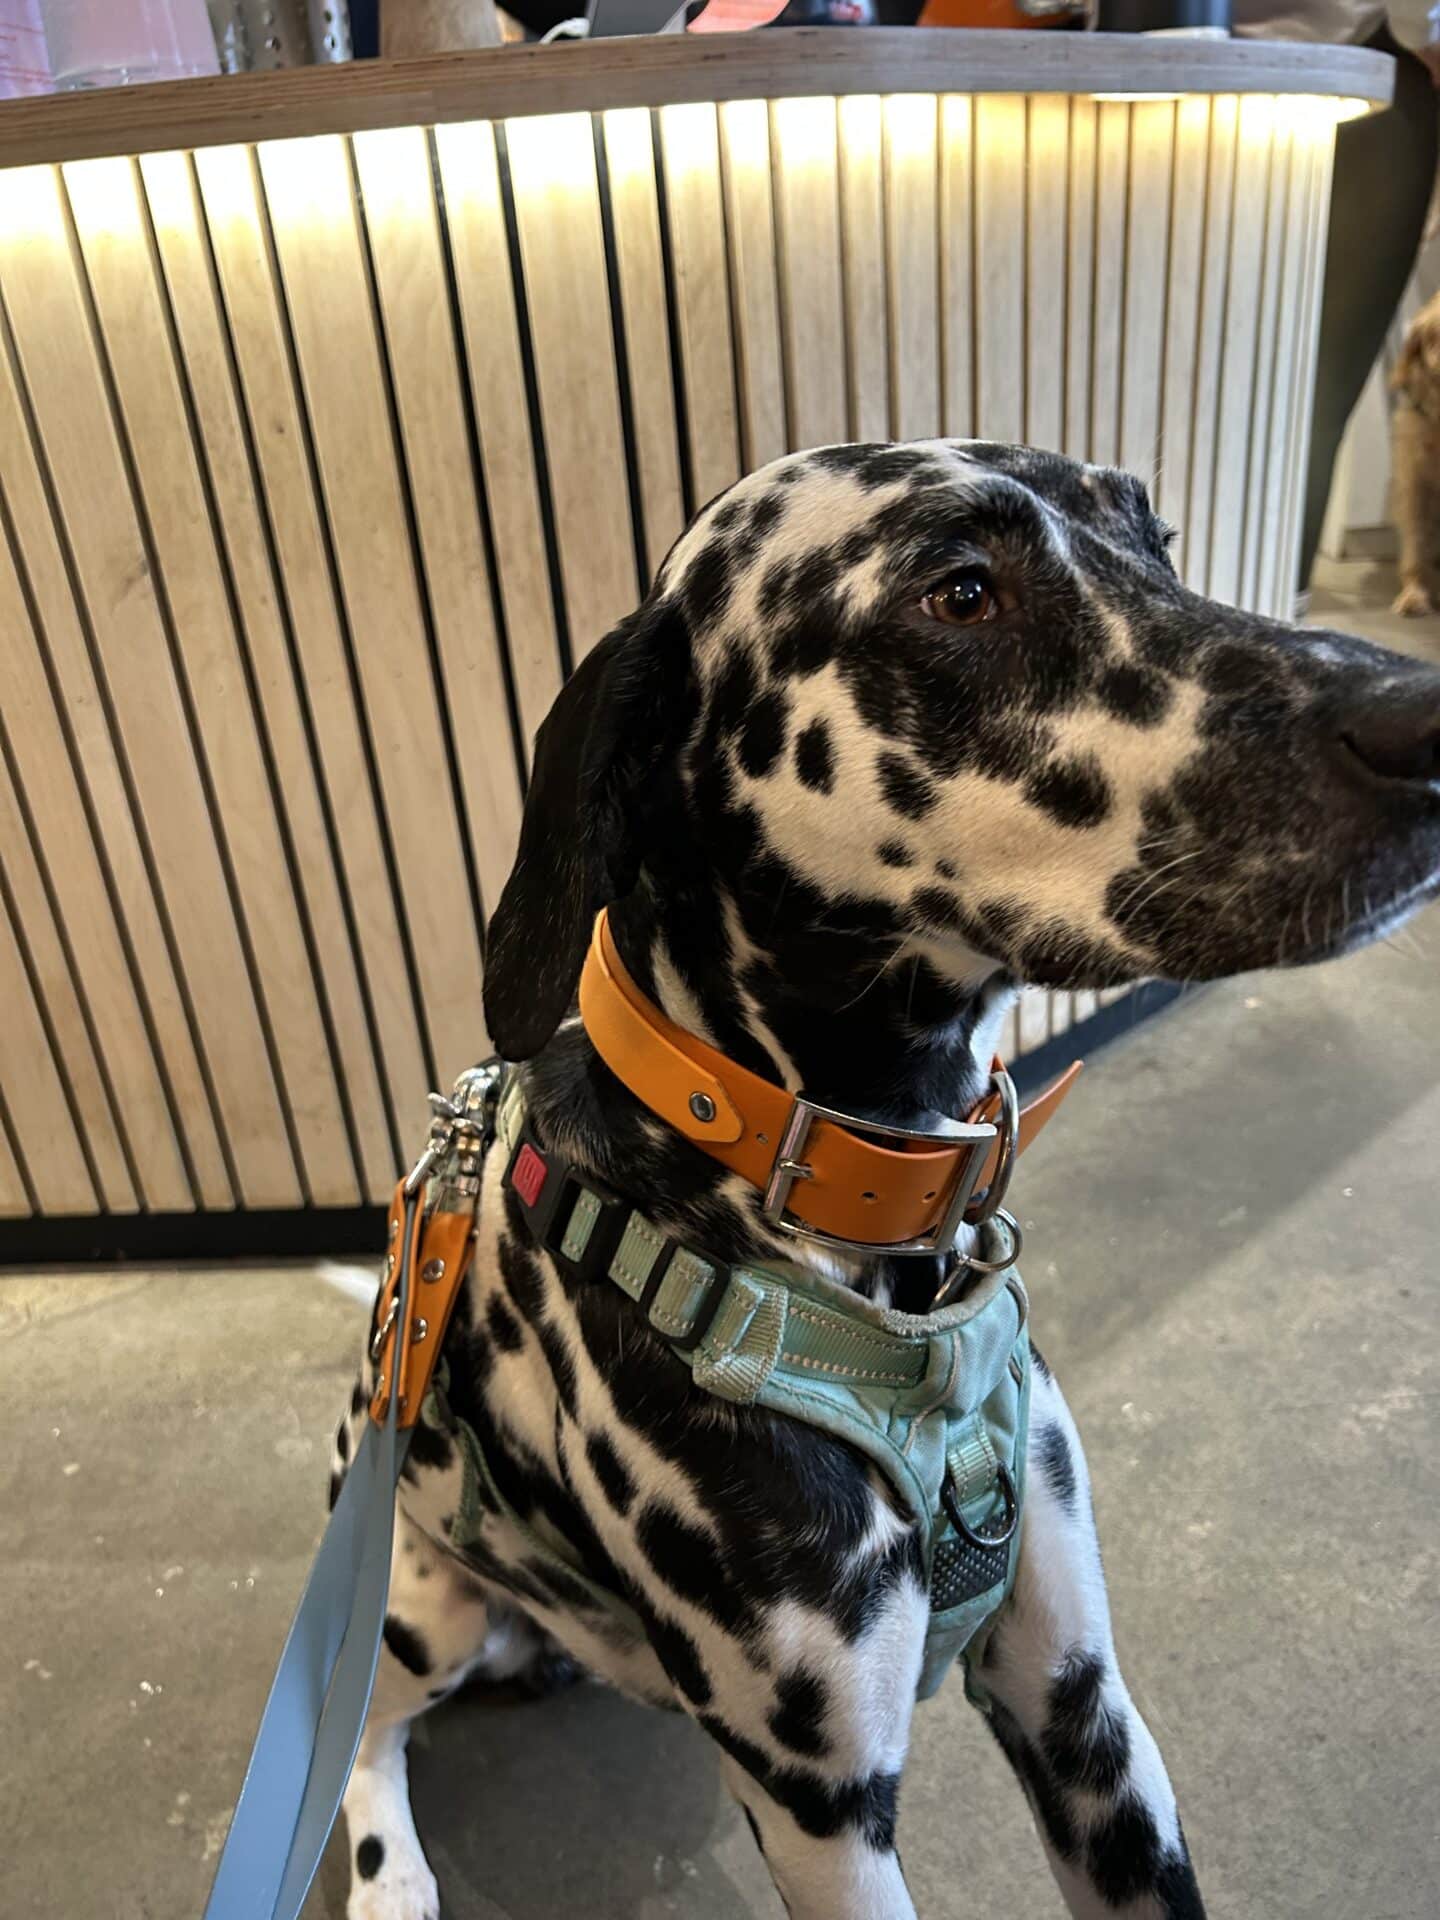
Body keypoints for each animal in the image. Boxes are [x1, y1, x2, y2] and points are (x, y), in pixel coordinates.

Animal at [328, 439, 1440, 1920]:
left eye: (1155, 535)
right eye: (958, 591)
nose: (1428, 719)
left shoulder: (1085, 1716)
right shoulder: (828, 1816)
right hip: (419, 1612)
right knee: (361, 1739)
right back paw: (391, 1877)